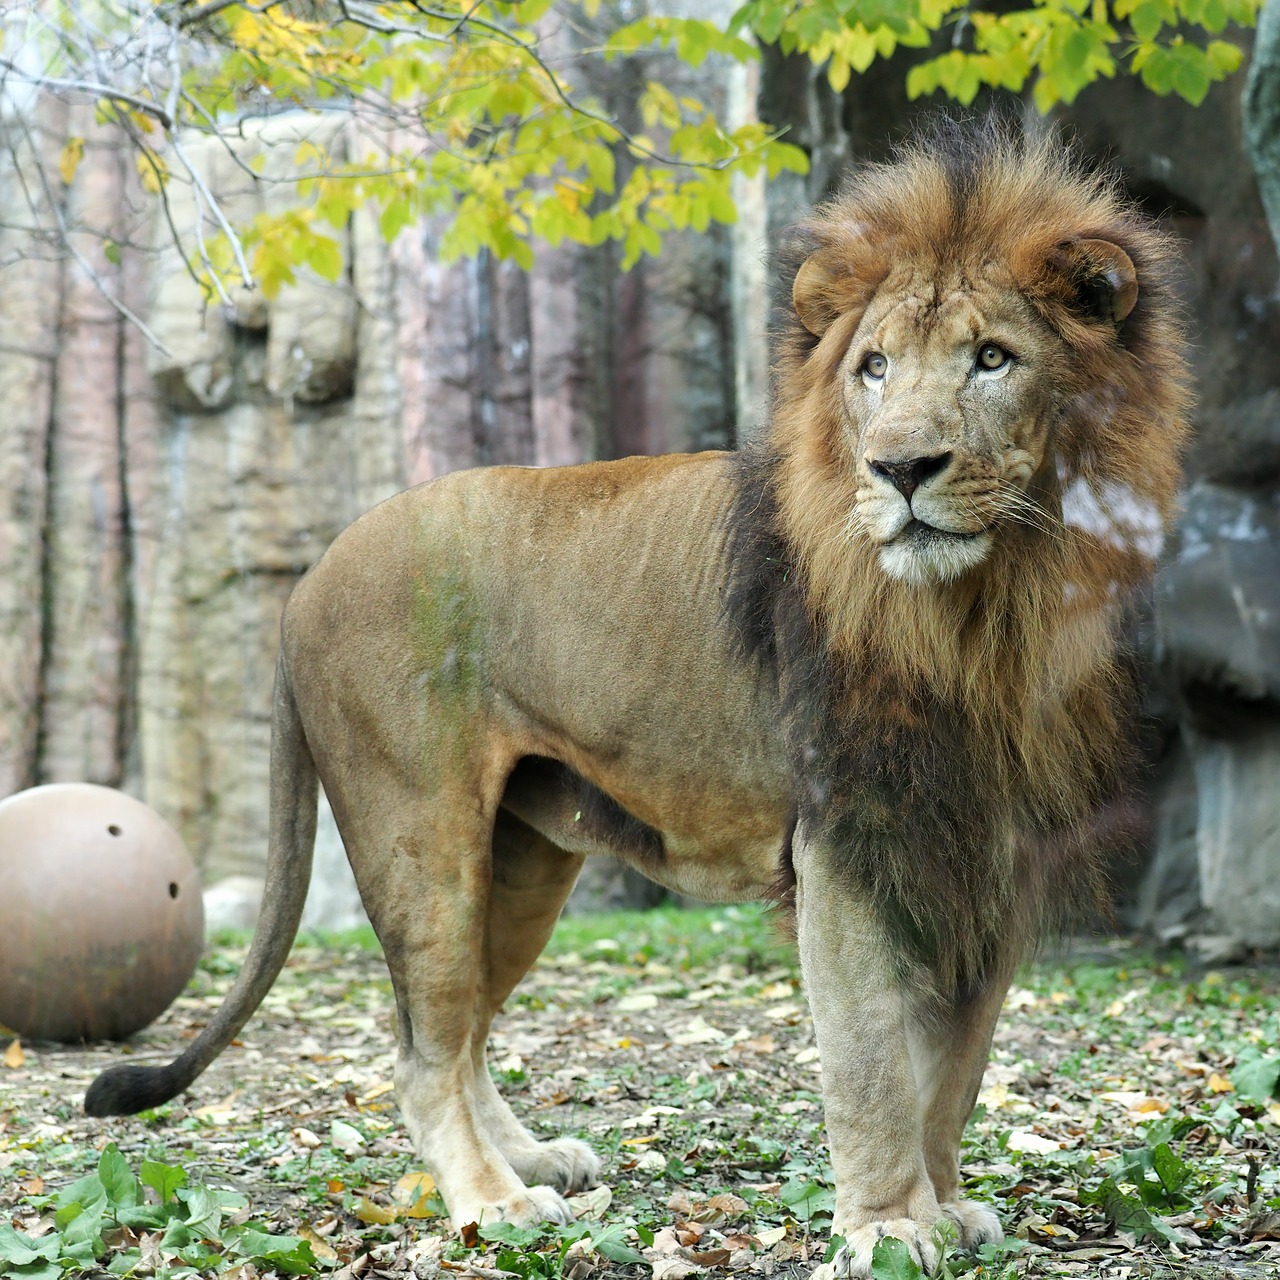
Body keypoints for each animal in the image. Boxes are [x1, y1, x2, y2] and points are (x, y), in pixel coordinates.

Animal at [87, 115, 1187, 1274]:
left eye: (992, 358)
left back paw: (532, 1159)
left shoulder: (993, 849)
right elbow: (873, 1064)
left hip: (521, 857)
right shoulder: (843, 841)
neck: (988, 609)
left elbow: (955, 1068)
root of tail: (304, 582)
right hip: (420, 837)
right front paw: (888, 1228)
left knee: (457, 1029)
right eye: (874, 369)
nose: (899, 468)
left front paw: (946, 1205)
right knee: (422, 1051)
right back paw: (496, 1204)